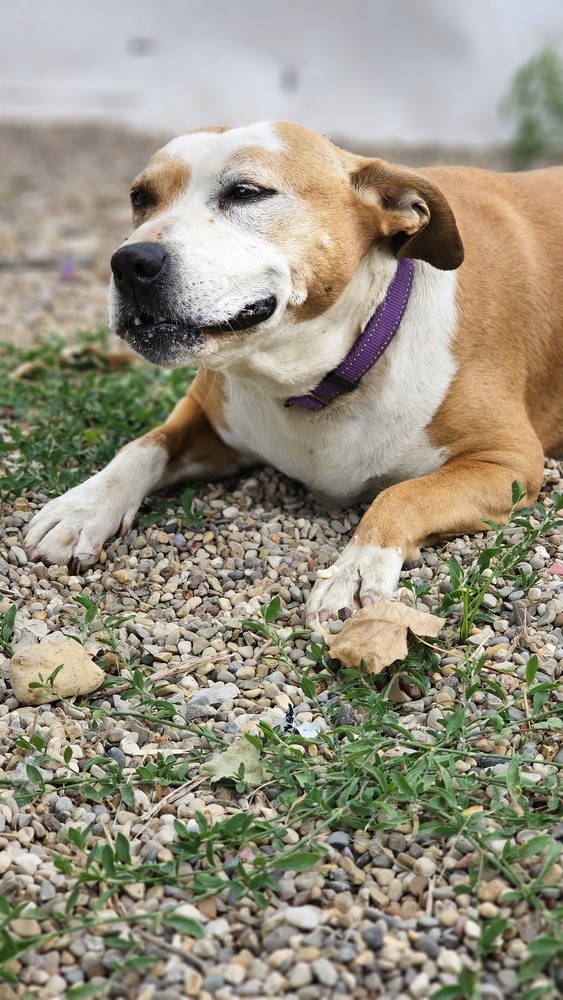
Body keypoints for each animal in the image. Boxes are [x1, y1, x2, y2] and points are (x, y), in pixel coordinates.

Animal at [25, 123, 563, 624]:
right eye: (140, 198)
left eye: (246, 191)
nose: (129, 262)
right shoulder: (208, 414)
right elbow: (144, 445)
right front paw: (83, 507)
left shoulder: (509, 462)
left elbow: (402, 493)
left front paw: (354, 571)